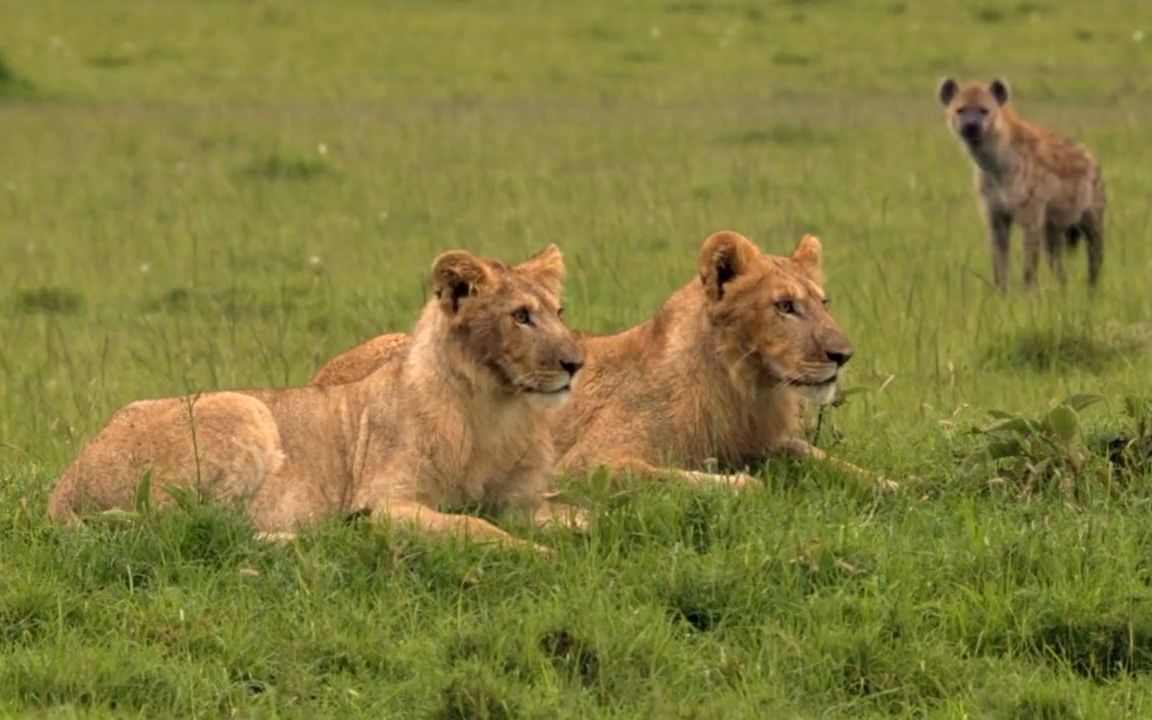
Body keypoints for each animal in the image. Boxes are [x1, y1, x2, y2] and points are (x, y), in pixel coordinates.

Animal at [44, 244, 585, 548]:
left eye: (559, 312)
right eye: (521, 316)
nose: (576, 364)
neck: (497, 406)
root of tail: (65, 481)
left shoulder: (522, 499)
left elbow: (584, 516)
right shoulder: (388, 503)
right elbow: (476, 528)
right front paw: (539, 554)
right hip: (245, 410)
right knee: (186, 527)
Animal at [311, 232, 866, 486]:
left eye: (824, 302)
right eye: (784, 306)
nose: (843, 355)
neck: (749, 387)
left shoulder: (768, 440)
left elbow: (826, 458)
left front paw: (886, 484)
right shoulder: (588, 463)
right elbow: (683, 478)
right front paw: (742, 485)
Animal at [940, 76, 1101, 289]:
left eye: (984, 110)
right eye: (960, 109)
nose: (971, 125)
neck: (996, 165)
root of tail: (1091, 156)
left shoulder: (1031, 211)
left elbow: (1029, 265)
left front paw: (1028, 293)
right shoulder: (994, 212)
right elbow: (999, 260)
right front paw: (1001, 291)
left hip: (1092, 211)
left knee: (1095, 253)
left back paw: (1092, 290)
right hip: (1052, 226)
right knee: (1058, 262)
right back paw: (1063, 289)